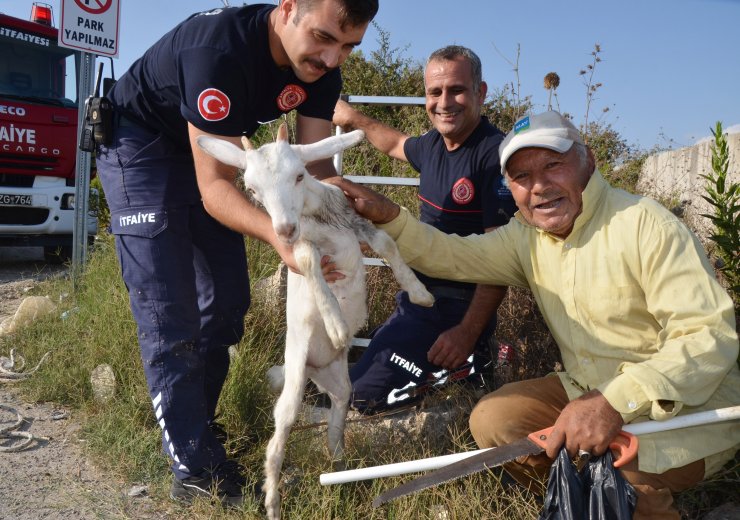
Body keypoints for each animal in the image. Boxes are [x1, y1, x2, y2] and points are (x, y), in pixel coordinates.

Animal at [197, 124, 434, 516]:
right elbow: (309, 263)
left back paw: (340, 468)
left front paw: (420, 292)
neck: (315, 218)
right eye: (252, 189)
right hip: (294, 380)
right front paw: (336, 323)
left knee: (337, 415)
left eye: (299, 175)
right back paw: (273, 503)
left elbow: (386, 243)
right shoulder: (301, 248)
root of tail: (313, 366)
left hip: (338, 382)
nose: (283, 229)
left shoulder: (355, 219)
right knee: (278, 436)